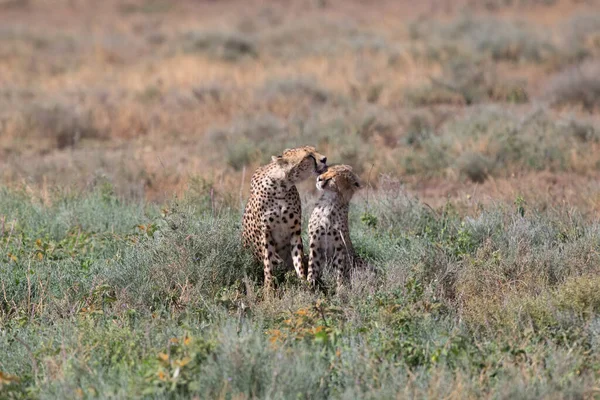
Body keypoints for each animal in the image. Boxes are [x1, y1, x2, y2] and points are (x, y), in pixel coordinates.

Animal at [240, 145, 328, 290]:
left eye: (315, 150)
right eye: (308, 156)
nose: (324, 159)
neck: (281, 185)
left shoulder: (294, 232)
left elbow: (298, 261)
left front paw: (303, 284)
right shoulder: (266, 233)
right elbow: (268, 262)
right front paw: (269, 289)